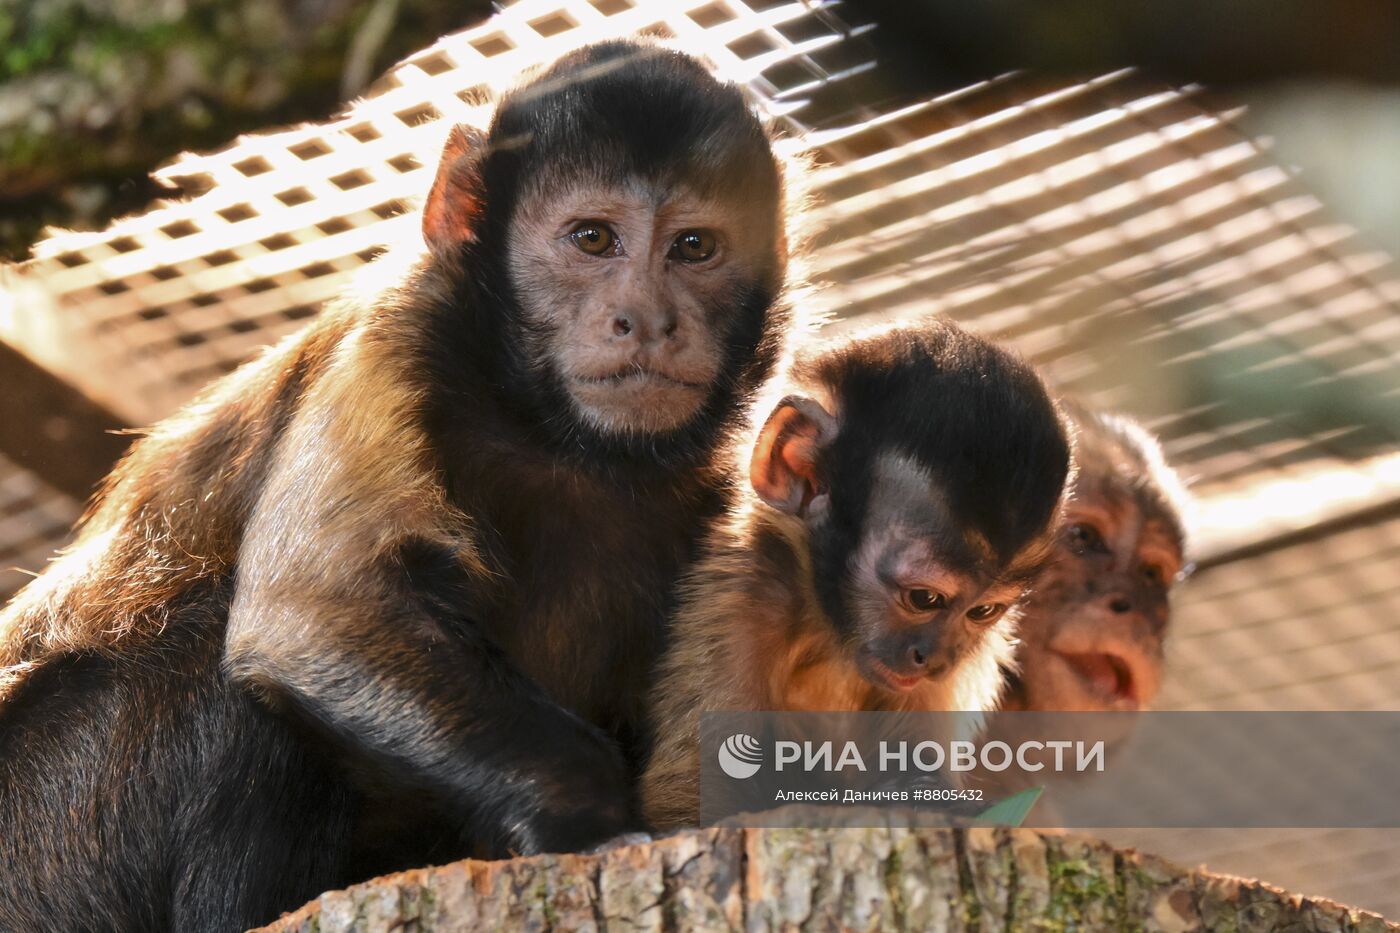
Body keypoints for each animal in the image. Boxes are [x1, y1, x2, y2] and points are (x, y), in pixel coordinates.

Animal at [0, 39, 800, 924]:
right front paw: (587, 814)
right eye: (593, 239)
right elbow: (310, 616)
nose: (648, 320)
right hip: (45, 830)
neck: (555, 436)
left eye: (694, 248)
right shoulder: (398, 338)